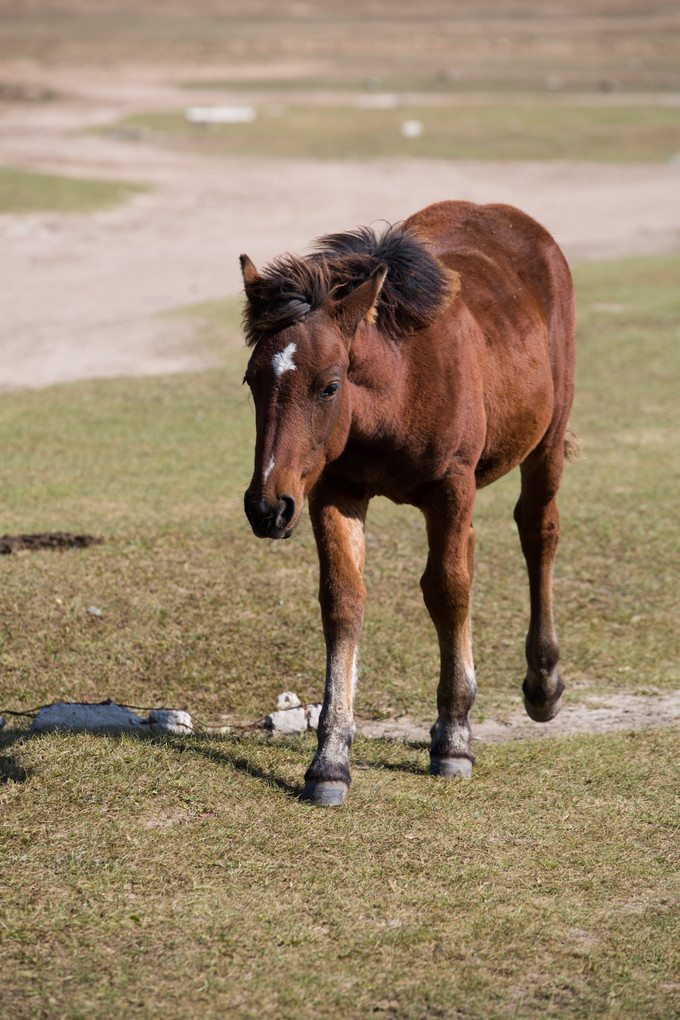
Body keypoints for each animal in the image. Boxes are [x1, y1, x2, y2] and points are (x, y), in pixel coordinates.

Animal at [239, 198, 574, 803]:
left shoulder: (452, 488)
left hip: (548, 440)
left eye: (329, 385)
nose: (267, 506)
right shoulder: (334, 490)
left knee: (538, 531)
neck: (398, 387)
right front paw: (330, 760)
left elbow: (448, 590)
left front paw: (455, 741)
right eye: (252, 382)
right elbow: (343, 600)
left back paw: (542, 684)